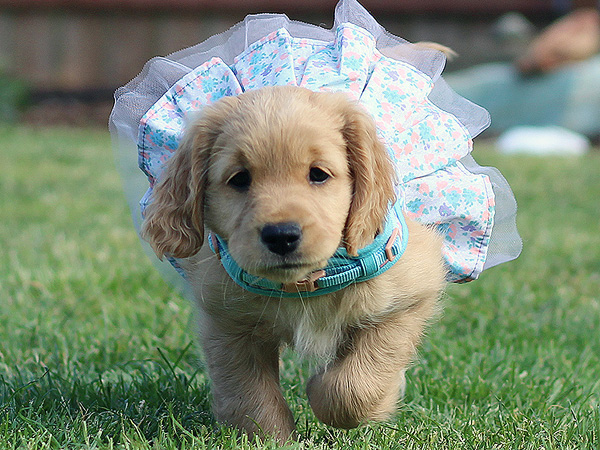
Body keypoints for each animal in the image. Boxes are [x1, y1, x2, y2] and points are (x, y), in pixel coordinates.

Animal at [141, 86, 446, 442]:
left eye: (318, 174)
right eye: (239, 179)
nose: (281, 235)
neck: (304, 283)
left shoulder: (408, 297)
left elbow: (355, 385)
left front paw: (324, 389)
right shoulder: (228, 323)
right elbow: (249, 395)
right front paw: (270, 438)